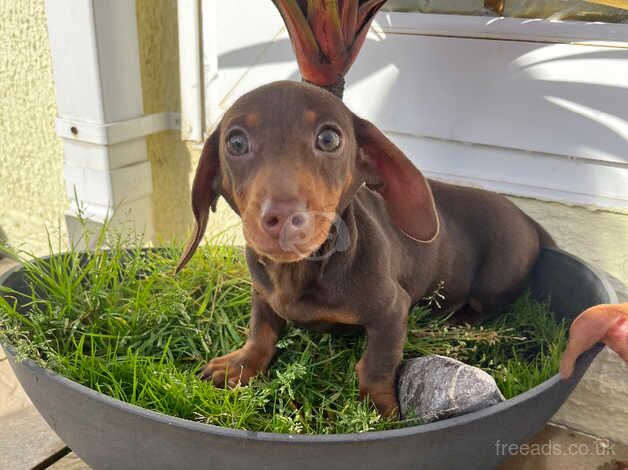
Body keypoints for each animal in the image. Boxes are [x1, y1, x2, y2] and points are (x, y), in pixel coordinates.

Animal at [175, 81, 556, 414]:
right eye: (236, 142)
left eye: (329, 138)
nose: (283, 217)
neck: (302, 270)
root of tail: (529, 220)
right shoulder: (262, 293)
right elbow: (261, 331)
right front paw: (240, 364)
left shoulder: (392, 309)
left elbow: (376, 362)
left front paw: (377, 405)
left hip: (495, 278)